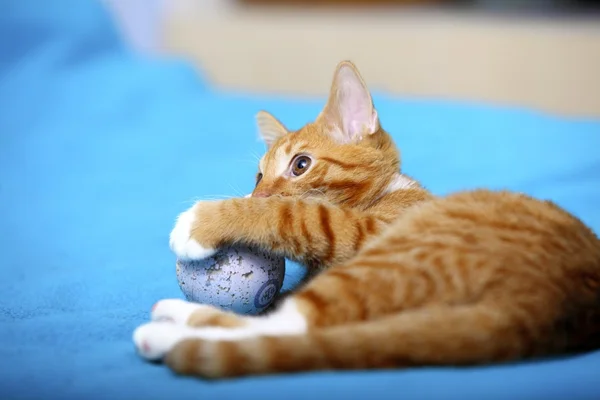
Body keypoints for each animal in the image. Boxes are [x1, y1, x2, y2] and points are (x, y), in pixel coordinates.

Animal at [134, 60, 600, 378]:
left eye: (300, 165)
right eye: (258, 176)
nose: (258, 193)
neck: (391, 191)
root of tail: (549, 302)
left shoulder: (365, 231)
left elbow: (296, 215)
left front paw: (203, 220)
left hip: (398, 255)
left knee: (297, 325)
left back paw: (169, 331)